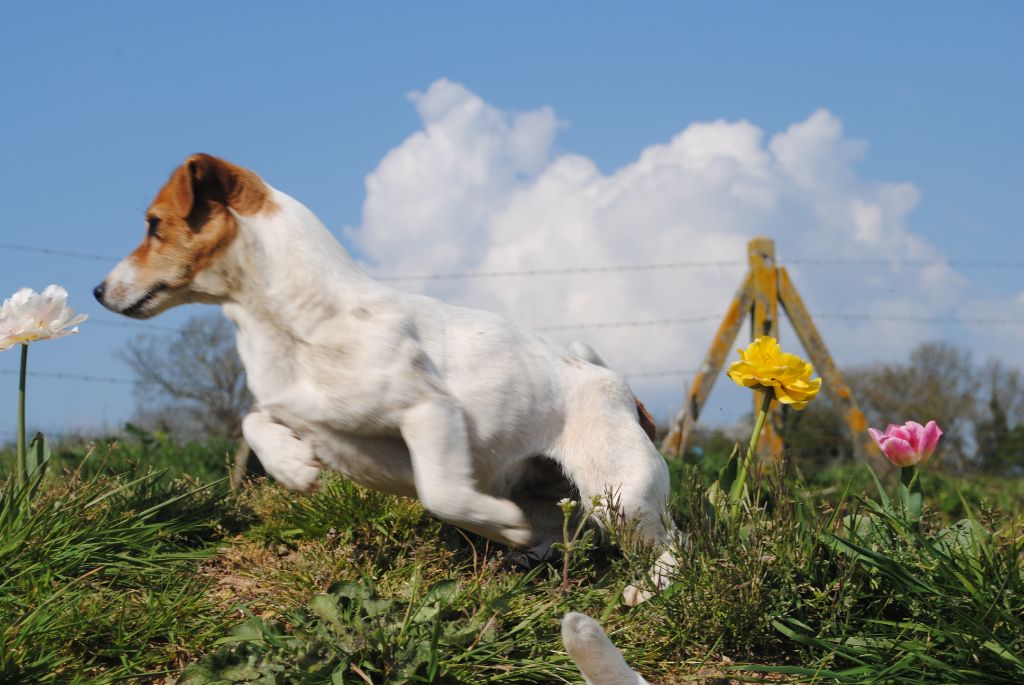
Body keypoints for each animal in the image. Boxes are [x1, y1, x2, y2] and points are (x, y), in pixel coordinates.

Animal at [94, 153, 671, 597]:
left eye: (153, 225)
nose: (97, 291)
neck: (298, 323)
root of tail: (620, 388)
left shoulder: (429, 413)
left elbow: (441, 493)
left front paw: (497, 523)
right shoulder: (299, 414)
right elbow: (252, 423)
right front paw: (292, 467)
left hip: (620, 497)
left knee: (671, 548)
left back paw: (648, 588)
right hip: (558, 500)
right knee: (569, 534)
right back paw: (532, 557)